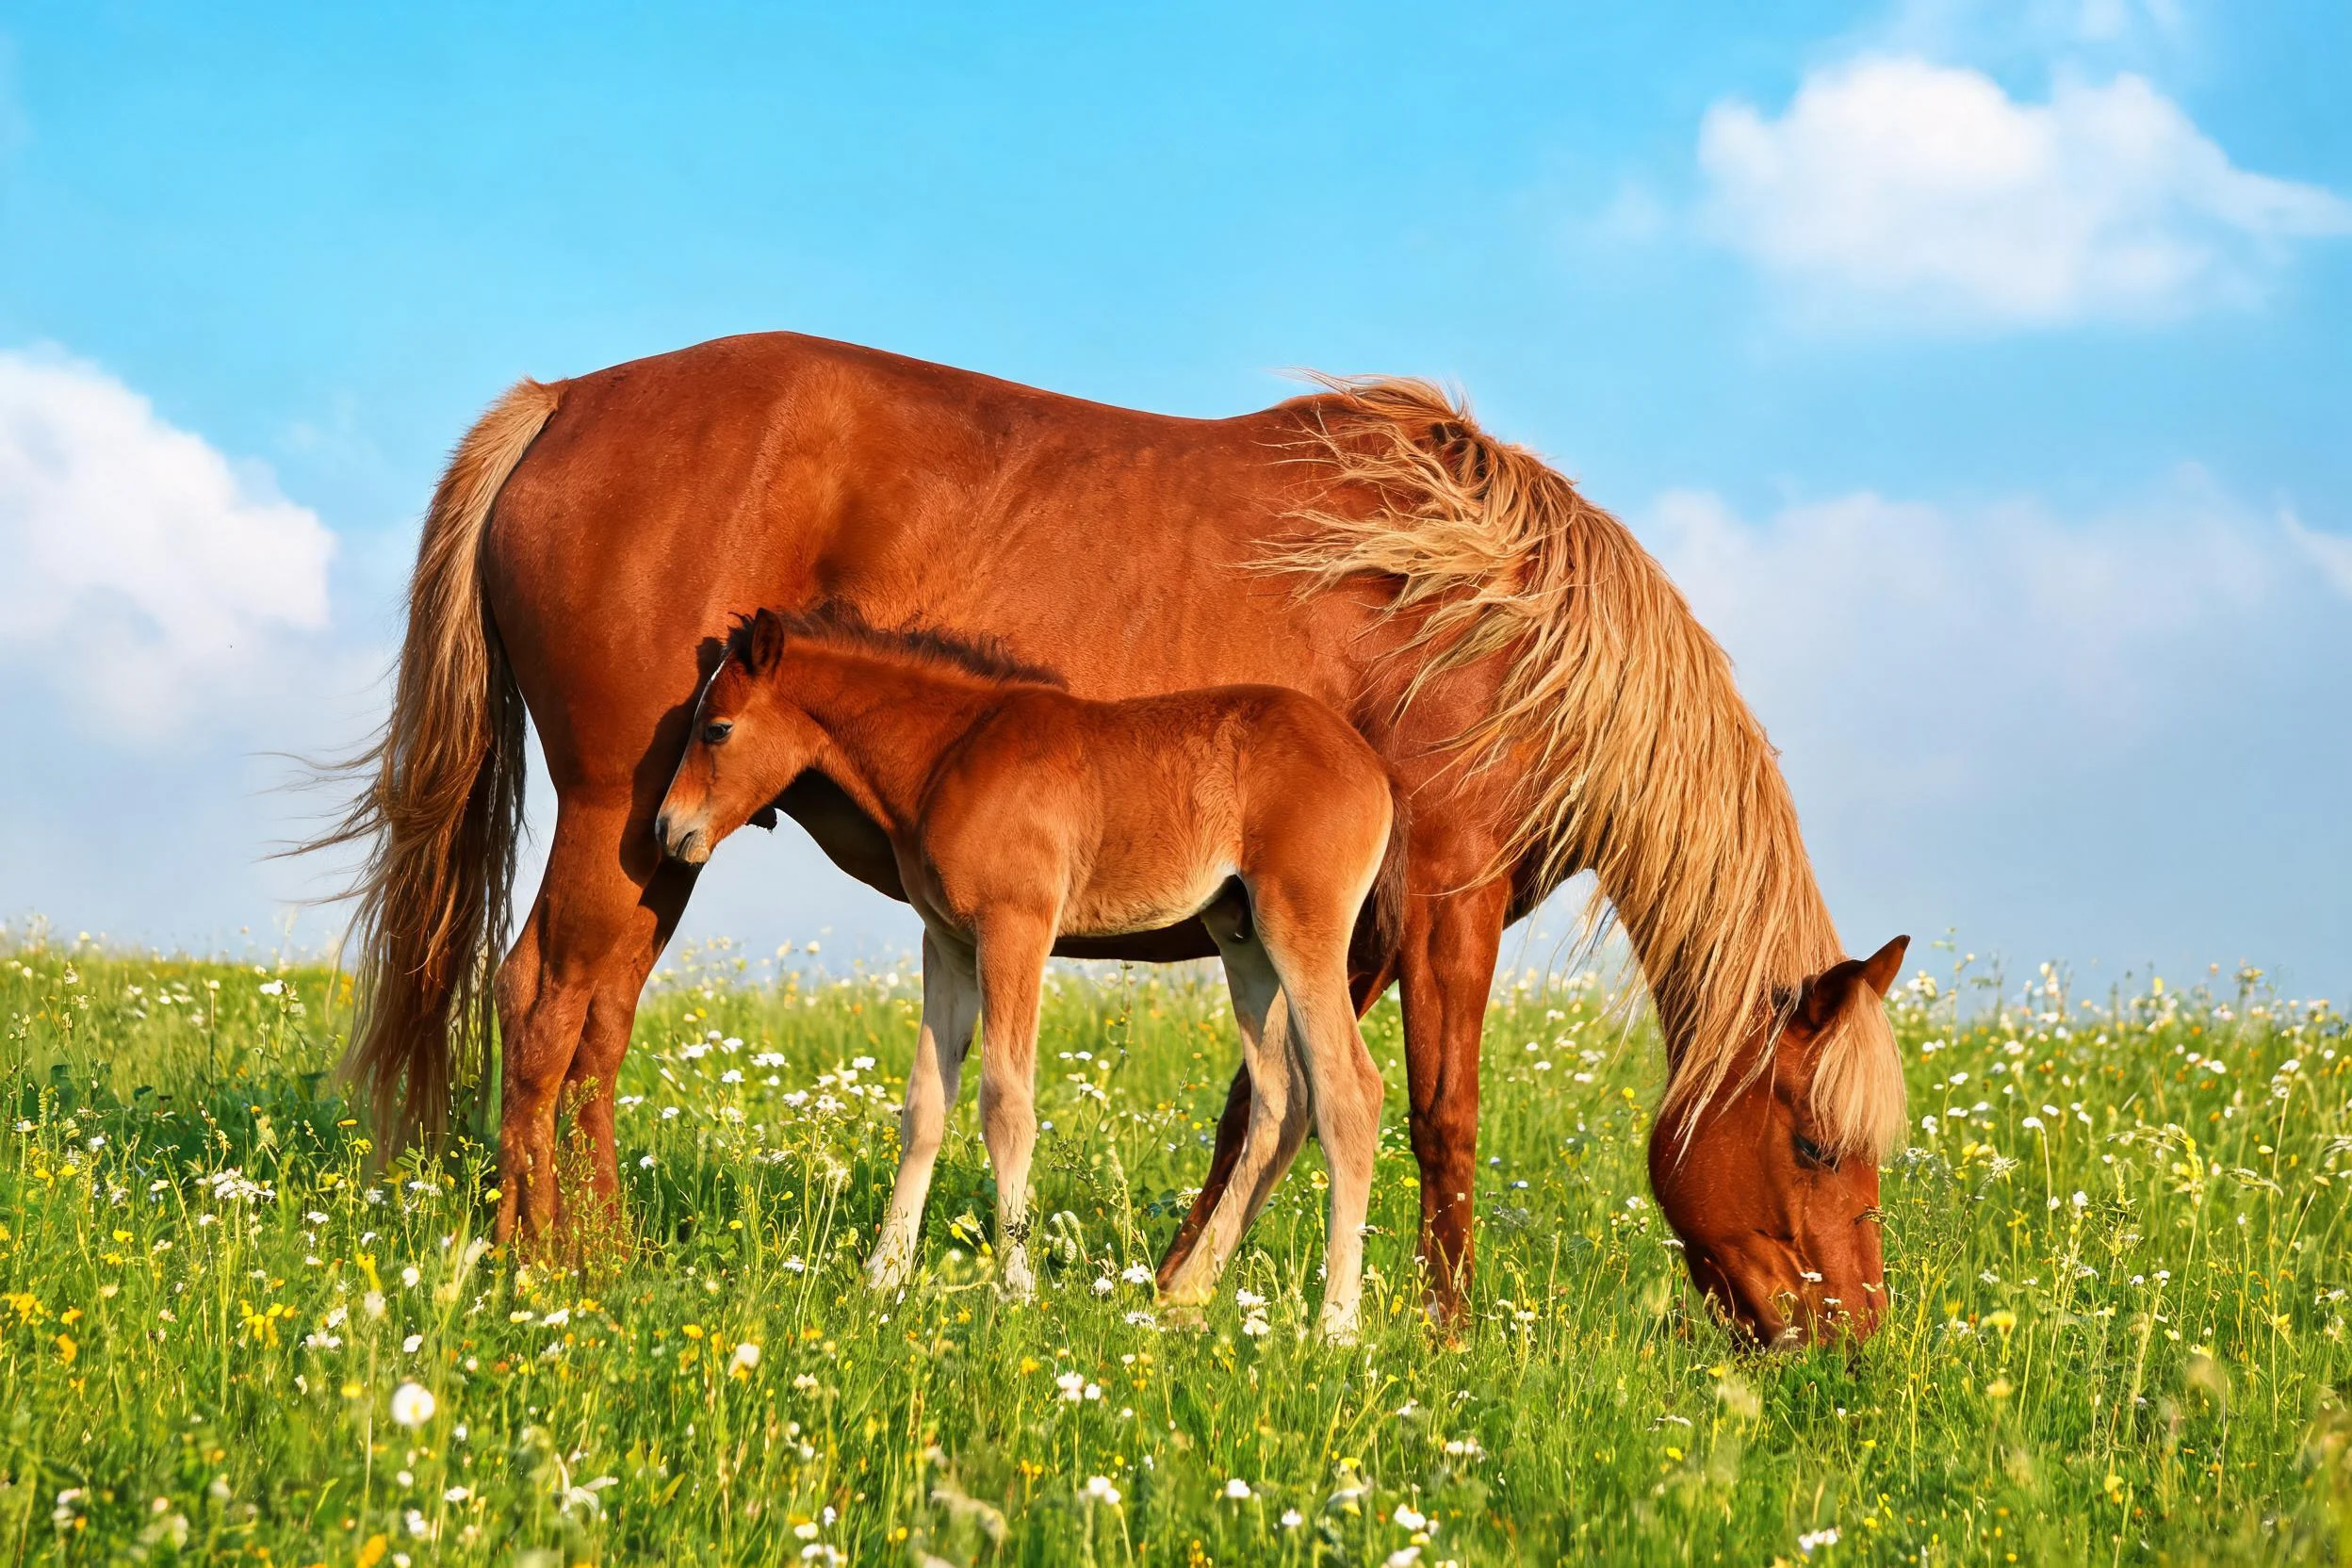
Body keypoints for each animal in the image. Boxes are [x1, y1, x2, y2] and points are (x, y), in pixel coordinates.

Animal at [651, 605, 1407, 1337]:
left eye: (717, 729)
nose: (667, 829)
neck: (950, 753)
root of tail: (1373, 767)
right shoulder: (947, 944)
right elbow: (926, 1104)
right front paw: (882, 1278)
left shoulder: (1014, 928)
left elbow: (1005, 1105)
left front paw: (1015, 1288)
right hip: (1242, 939)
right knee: (1282, 1102)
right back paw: (1185, 1297)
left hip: (1300, 928)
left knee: (1350, 1093)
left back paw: (1336, 1323)